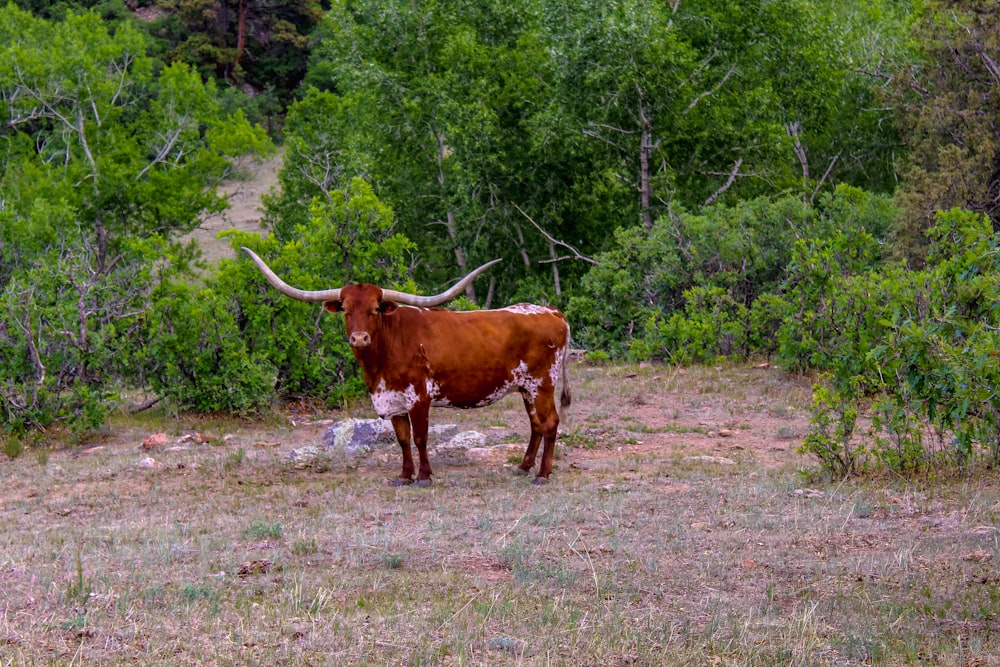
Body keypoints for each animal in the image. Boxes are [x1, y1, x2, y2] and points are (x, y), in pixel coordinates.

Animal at [242, 249, 572, 486]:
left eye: (375, 309)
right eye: (346, 310)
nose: (359, 338)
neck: (382, 359)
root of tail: (551, 311)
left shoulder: (419, 397)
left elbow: (420, 437)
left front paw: (424, 477)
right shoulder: (392, 400)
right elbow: (402, 439)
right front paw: (404, 476)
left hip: (543, 383)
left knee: (550, 422)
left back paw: (542, 475)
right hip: (525, 387)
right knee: (536, 424)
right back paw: (523, 467)